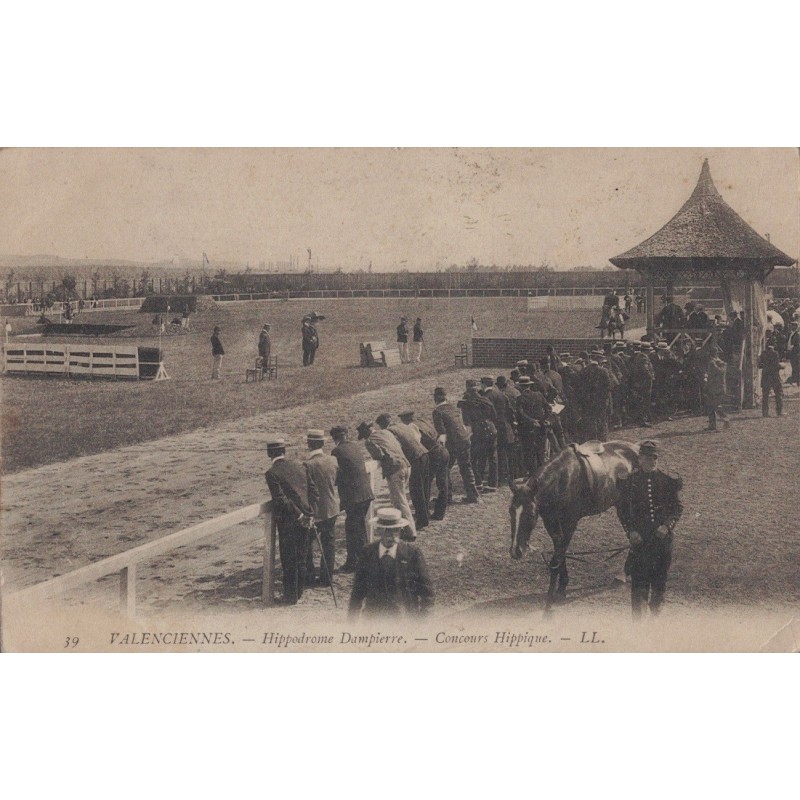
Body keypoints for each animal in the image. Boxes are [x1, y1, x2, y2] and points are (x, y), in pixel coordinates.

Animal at [510, 444, 640, 608]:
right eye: (510, 511)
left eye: (530, 514)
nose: (516, 551)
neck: (561, 482)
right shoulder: (552, 524)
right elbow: (560, 555)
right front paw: (562, 586)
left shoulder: (570, 524)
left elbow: (557, 558)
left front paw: (555, 593)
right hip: (622, 507)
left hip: (627, 507)